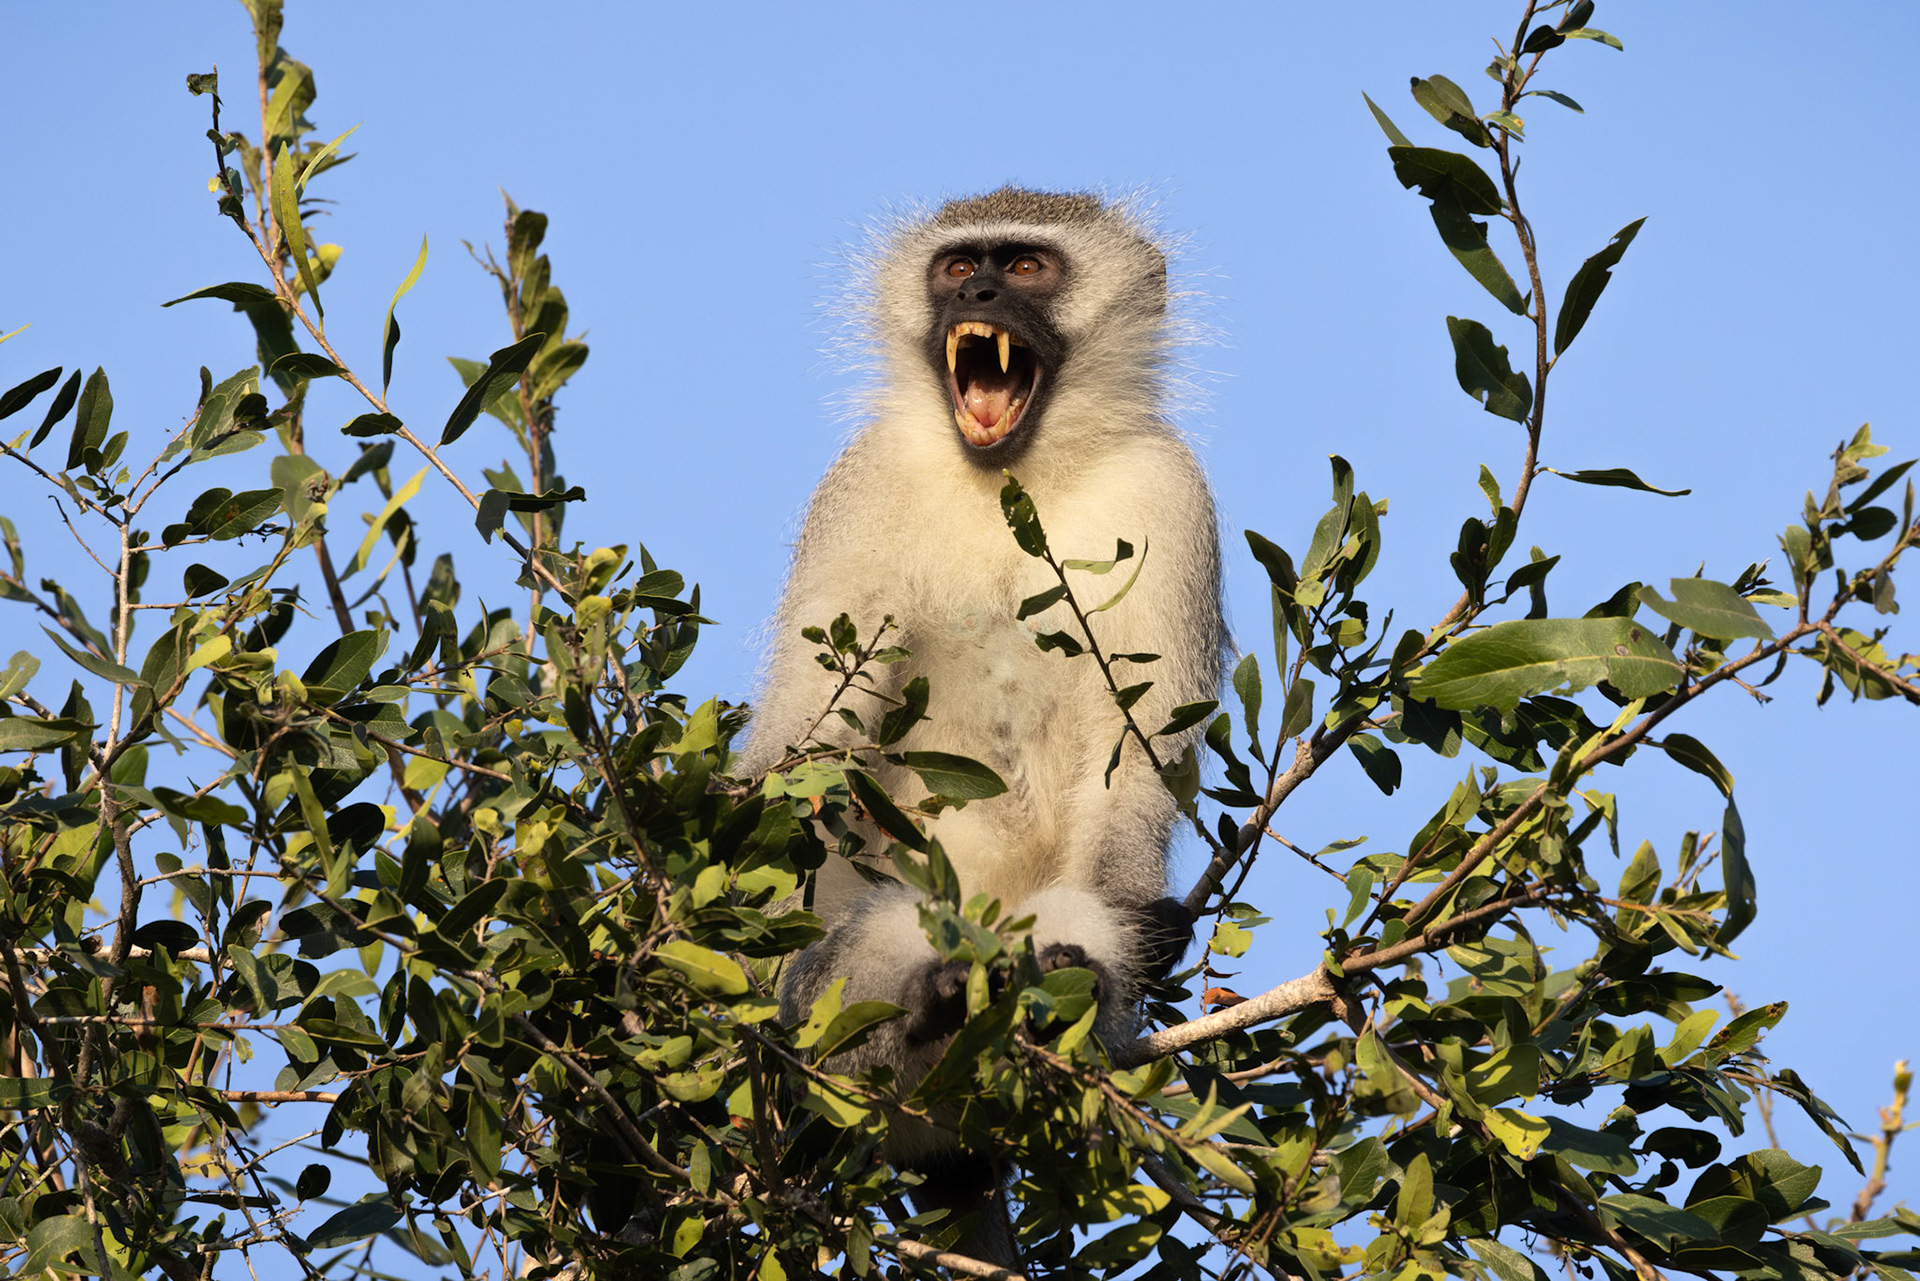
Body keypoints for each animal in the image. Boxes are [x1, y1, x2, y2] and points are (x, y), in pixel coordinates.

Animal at [741, 187, 1226, 1261]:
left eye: (1028, 267)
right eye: (960, 268)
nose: (981, 295)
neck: (1014, 480)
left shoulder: (1173, 492)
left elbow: (1137, 769)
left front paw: (1122, 945)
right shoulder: (860, 484)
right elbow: (803, 746)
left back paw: (1053, 987)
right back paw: (926, 1008)